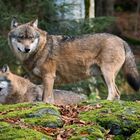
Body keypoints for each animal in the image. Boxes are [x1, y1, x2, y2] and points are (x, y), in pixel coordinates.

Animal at [8, 18, 139, 103]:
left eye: (31, 38)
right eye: (21, 37)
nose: (27, 49)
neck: (41, 48)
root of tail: (121, 40)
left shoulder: (49, 77)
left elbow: (47, 99)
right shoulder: (44, 79)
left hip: (107, 73)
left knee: (114, 93)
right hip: (104, 75)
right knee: (117, 93)